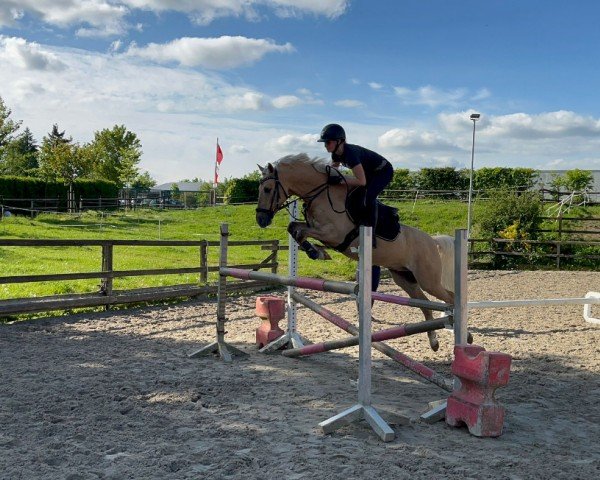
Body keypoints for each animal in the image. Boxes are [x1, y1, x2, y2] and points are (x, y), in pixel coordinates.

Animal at [255, 154, 458, 352]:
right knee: (425, 305)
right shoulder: (318, 229)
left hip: (428, 280)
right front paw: (316, 252)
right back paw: (434, 342)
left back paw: (457, 332)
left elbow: (301, 232)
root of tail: (432, 240)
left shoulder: (332, 234)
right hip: (404, 278)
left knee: (449, 298)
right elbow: (293, 228)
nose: (261, 220)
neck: (321, 195)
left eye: (267, 189)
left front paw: (317, 252)